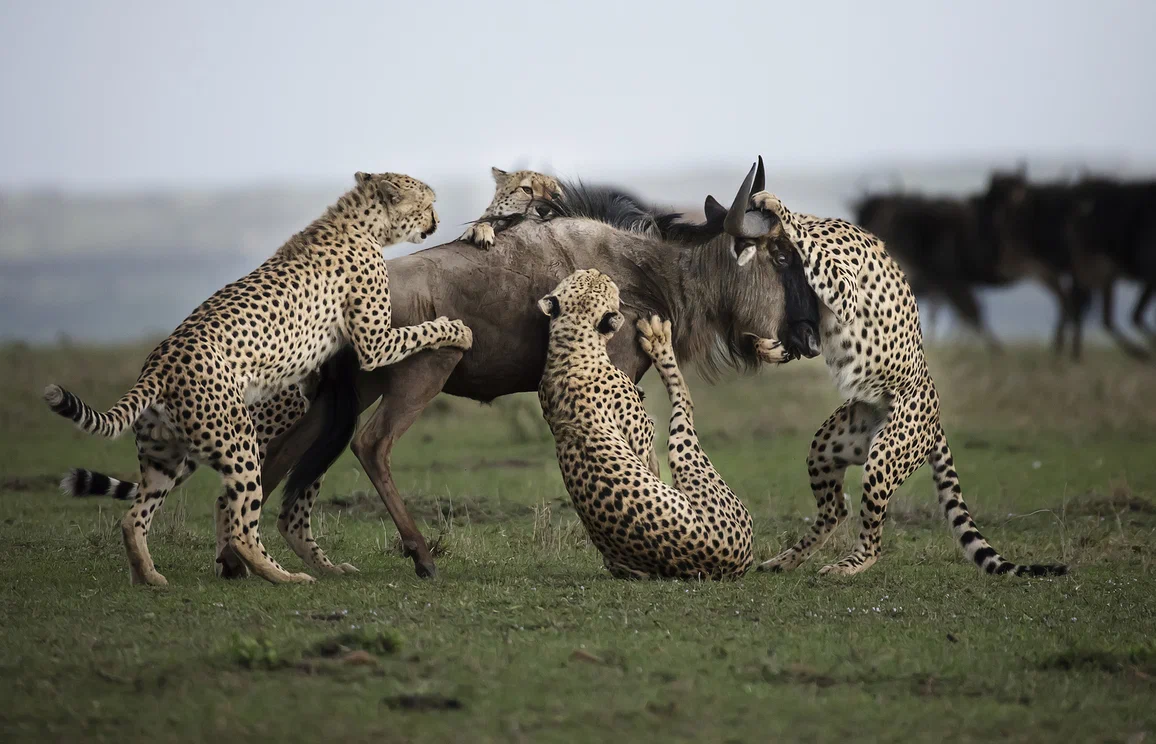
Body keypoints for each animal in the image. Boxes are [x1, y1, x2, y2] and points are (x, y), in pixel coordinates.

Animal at [42, 173, 471, 586]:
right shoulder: (374, 344)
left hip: (164, 457)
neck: (360, 221)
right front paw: (458, 330)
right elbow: (420, 331)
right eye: (428, 203)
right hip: (239, 444)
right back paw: (285, 577)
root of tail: (159, 364)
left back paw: (148, 576)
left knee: (134, 518)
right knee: (240, 528)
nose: (437, 221)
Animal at [536, 269, 762, 582]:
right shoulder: (641, 436)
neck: (571, 341)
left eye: (581, 277)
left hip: (620, 564)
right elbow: (651, 461)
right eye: (605, 285)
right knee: (684, 401)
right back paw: (659, 340)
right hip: (689, 457)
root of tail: (735, 563)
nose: (597, 270)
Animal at [725, 164, 1068, 582]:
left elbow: (808, 247)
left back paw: (848, 565)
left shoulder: (844, 291)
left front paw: (775, 204)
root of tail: (936, 420)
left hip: (884, 456)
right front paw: (766, 347)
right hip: (829, 447)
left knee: (872, 537)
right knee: (836, 509)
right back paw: (786, 559)